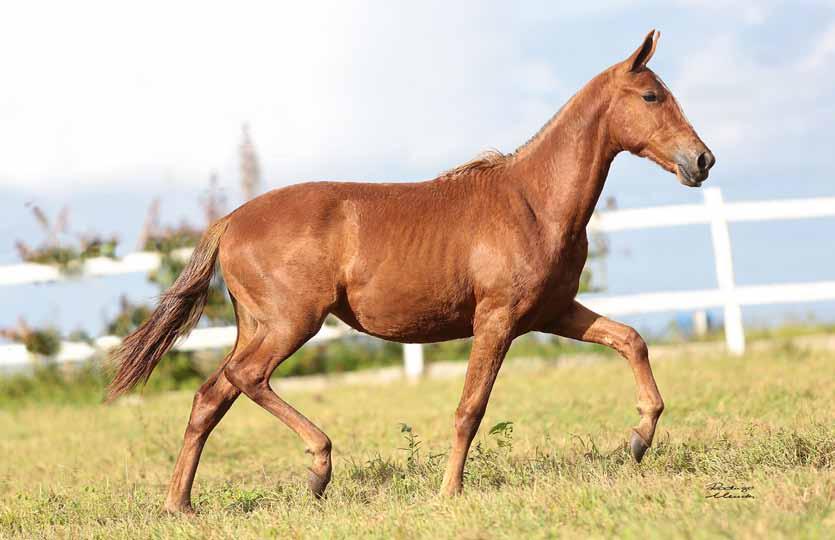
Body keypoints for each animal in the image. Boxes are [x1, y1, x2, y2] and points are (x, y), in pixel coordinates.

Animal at [108, 31, 716, 512]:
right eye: (651, 95)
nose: (702, 161)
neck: (533, 202)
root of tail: (230, 220)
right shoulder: (497, 319)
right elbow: (471, 407)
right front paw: (450, 491)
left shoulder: (552, 311)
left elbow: (631, 339)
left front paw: (639, 438)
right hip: (290, 323)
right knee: (245, 378)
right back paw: (318, 467)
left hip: (257, 325)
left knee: (210, 396)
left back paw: (180, 505)